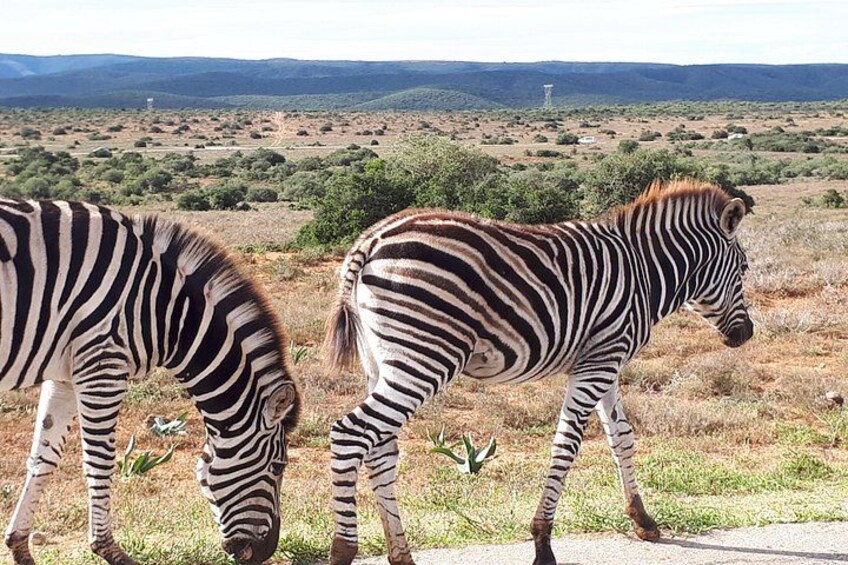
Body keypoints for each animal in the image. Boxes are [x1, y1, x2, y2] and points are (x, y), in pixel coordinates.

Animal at [0, 198, 300, 565]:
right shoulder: (102, 363)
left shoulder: (65, 374)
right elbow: (100, 461)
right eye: (278, 467)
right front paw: (108, 548)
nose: (264, 552)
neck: (166, 310)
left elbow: (43, 458)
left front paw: (19, 545)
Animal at [324, 180, 753, 565]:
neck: (645, 273)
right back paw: (344, 550)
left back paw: (401, 555)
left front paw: (642, 520)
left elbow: (622, 437)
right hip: (426, 356)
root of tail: (372, 239)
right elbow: (566, 445)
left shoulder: (606, 360)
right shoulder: (598, 364)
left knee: (381, 448)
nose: (746, 334)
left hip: (382, 362)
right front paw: (543, 543)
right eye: (744, 268)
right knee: (351, 433)